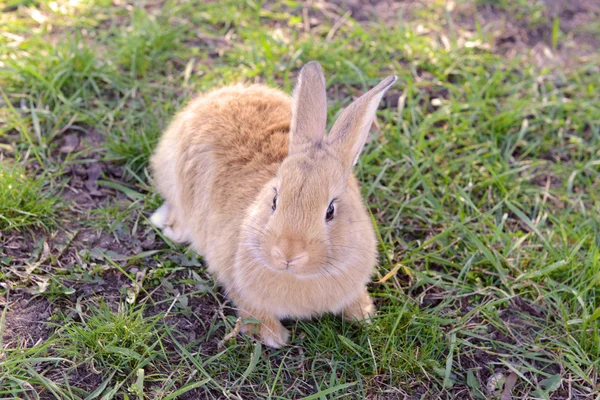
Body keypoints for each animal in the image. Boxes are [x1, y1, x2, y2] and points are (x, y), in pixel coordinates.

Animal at [149, 60, 394, 346]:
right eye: (275, 200)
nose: (287, 254)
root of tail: (210, 99)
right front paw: (274, 336)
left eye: (331, 210)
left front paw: (363, 314)